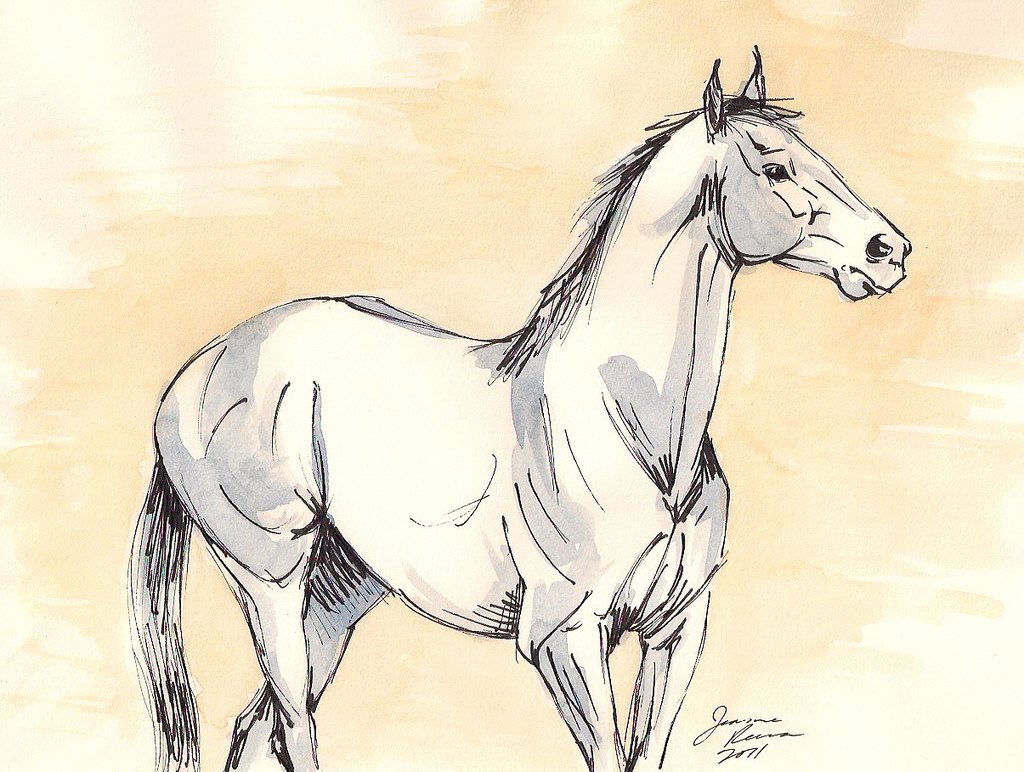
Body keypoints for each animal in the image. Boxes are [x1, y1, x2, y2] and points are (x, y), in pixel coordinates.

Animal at [129, 49, 911, 772]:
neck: (634, 431)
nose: (890, 251)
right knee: (292, 725)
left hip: (339, 595)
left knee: (254, 728)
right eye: (776, 168)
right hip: (272, 584)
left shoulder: (676, 632)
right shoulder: (564, 637)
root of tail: (199, 370)